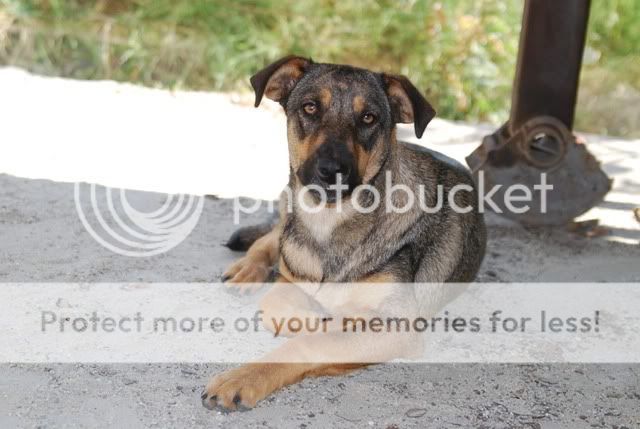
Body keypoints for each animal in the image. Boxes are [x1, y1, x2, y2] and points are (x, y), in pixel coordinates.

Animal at [200, 55, 484, 410]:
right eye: (310, 108)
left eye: (368, 118)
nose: (332, 171)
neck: (330, 221)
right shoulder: (293, 277)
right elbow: (274, 302)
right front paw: (311, 316)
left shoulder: (395, 326)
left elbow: (311, 340)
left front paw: (244, 377)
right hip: (286, 219)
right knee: (271, 237)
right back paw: (246, 270)